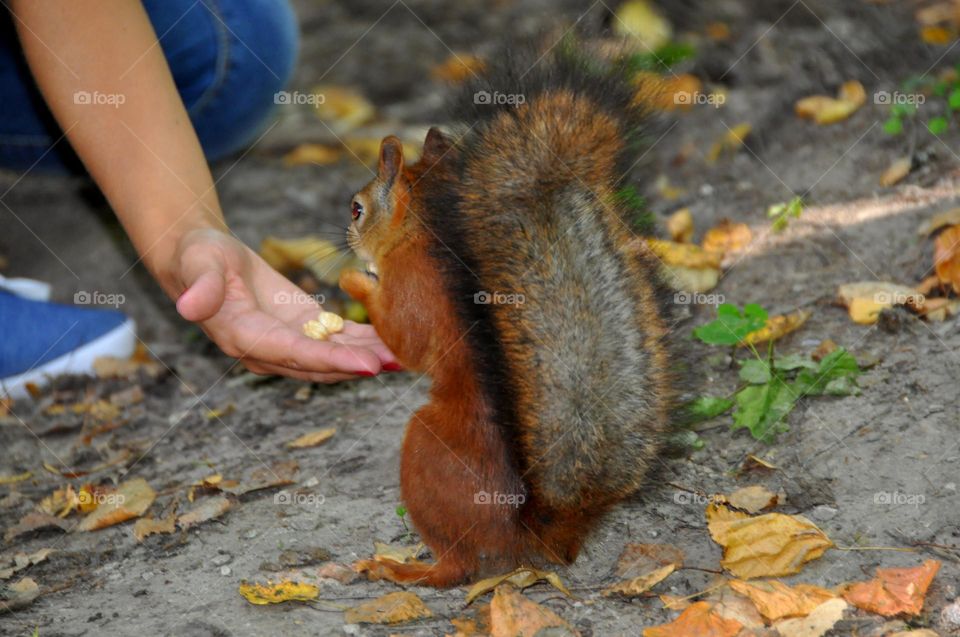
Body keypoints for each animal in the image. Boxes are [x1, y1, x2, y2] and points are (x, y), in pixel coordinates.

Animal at [339, 40, 675, 587]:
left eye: (356, 209)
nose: (346, 240)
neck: (422, 234)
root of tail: (523, 537)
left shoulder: (415, 288)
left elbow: (406, 340)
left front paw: (353, 282)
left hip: (425, 449)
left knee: (456, 567)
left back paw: (404, 569)